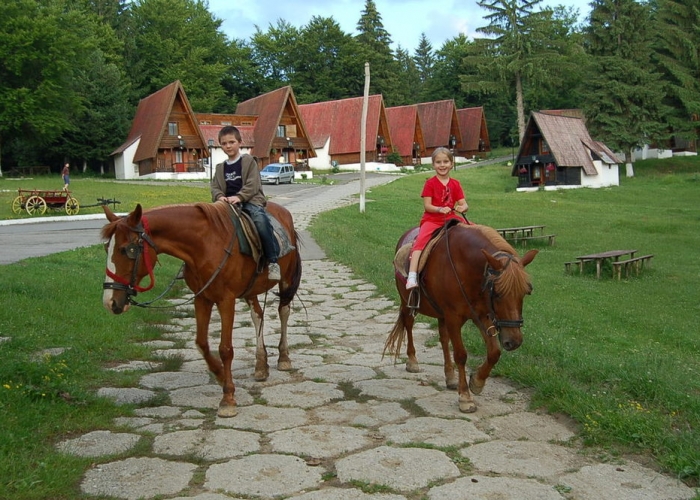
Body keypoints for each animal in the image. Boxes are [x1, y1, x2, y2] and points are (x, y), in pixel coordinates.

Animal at [100, 203, 300, 418]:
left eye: (126, 250)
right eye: (106, 248)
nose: (110, 302)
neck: (205, 244)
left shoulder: (226, 300)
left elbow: (225, 349)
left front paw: (228, 399)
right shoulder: (201, 298)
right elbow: (202, 343)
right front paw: (220, 375)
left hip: (286, 279)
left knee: (283, 311)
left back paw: (284, 358)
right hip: (251, 289)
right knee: (257, 316)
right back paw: (261, 366)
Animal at [386, 223, 540, 410]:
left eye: (525, 292)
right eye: (497, 293)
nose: (514, 341)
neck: (466, 267)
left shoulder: (482, 315)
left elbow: (494, 352)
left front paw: (477, 382)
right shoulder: (454, 317)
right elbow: (460, 355)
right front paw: (465, 397)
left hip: (441, 314)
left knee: (444, 339)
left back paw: (450, 376)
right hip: (407, 302)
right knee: (409, 325)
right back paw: (412, 360)